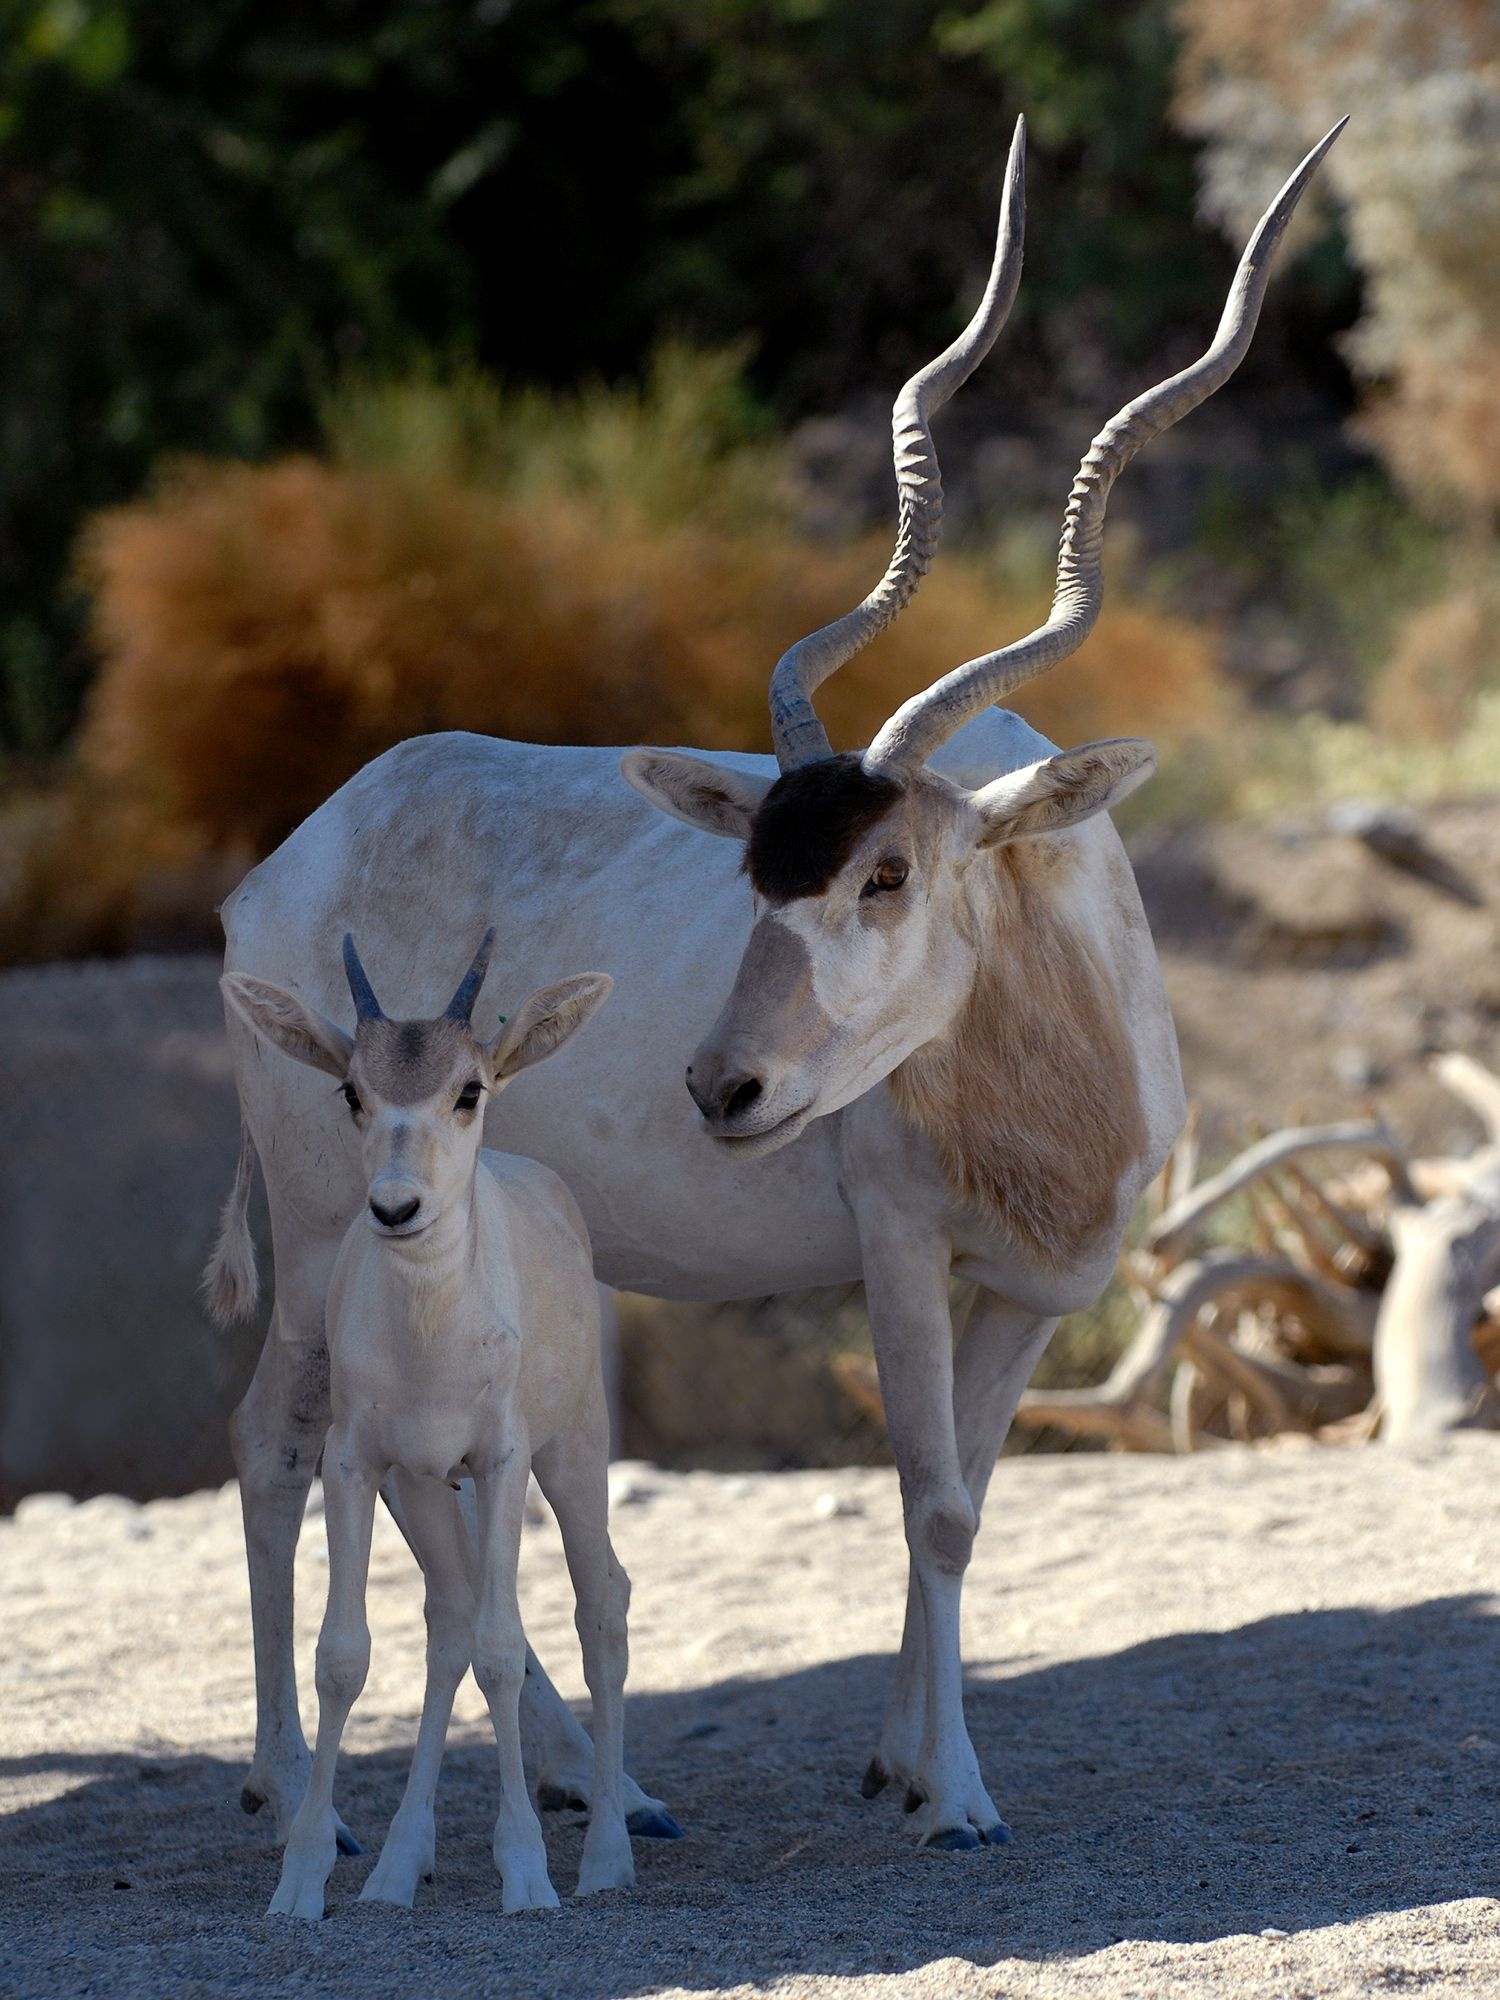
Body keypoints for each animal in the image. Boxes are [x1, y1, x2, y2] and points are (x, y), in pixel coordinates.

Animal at [206, 117, 1344, 1848]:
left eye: (886, 872)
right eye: (759, 867)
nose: (720, 1085)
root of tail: (275, 874)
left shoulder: (1034, 1286)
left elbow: (968, 1498)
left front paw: (904, 1762)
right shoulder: (895, 1245)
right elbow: (928, 1498)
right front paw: (960, 1797)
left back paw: (580, 1780)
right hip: (338, 1217)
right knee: (277, 1444)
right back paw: (301, 1802)